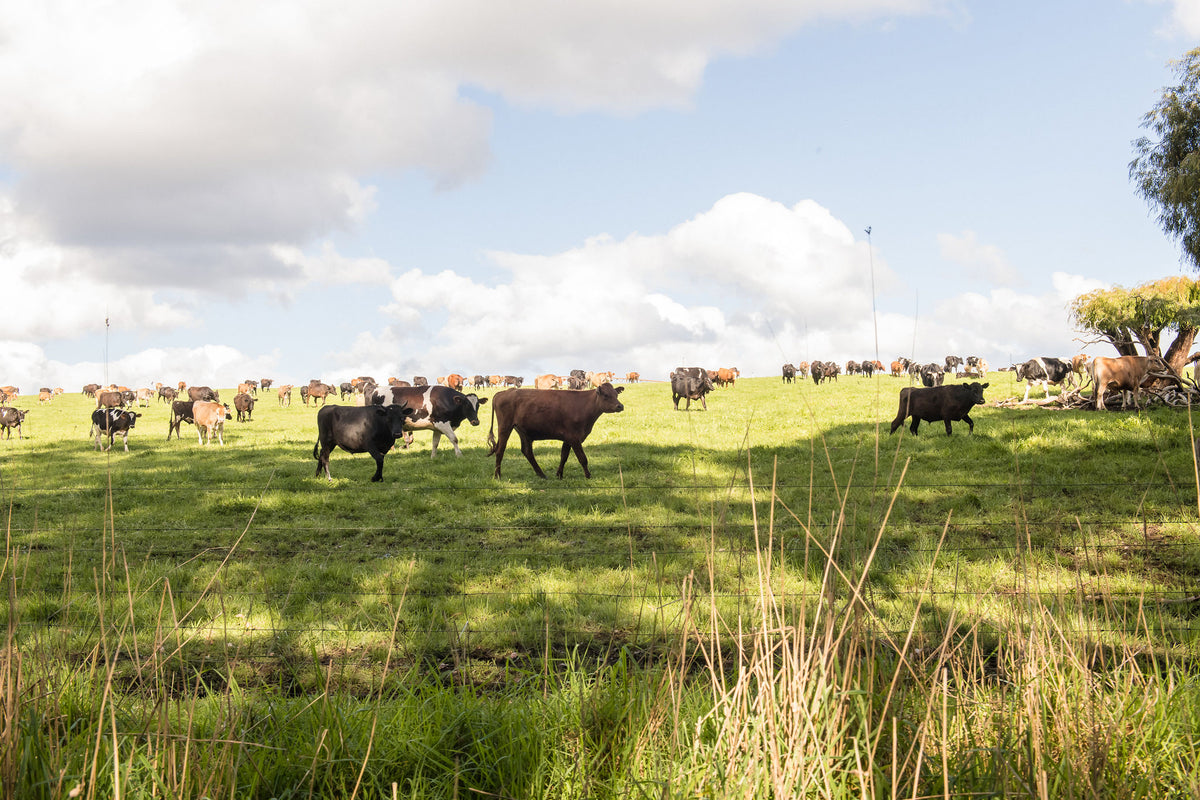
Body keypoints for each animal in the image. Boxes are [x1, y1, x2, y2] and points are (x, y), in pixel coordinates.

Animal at [486, 383, 625, 478]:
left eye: (616, 394)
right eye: (606, 395)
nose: (620, 406)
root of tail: (503, 392)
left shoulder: (568, 438)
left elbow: (564, 456)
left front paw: (559, 474)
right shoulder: (574, 437)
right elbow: (582, 458)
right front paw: (588, 476)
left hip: (523, 431)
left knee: (527, 452)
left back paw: (541, 474)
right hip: (505, 426)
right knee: (500, 450)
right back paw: (497, 475)